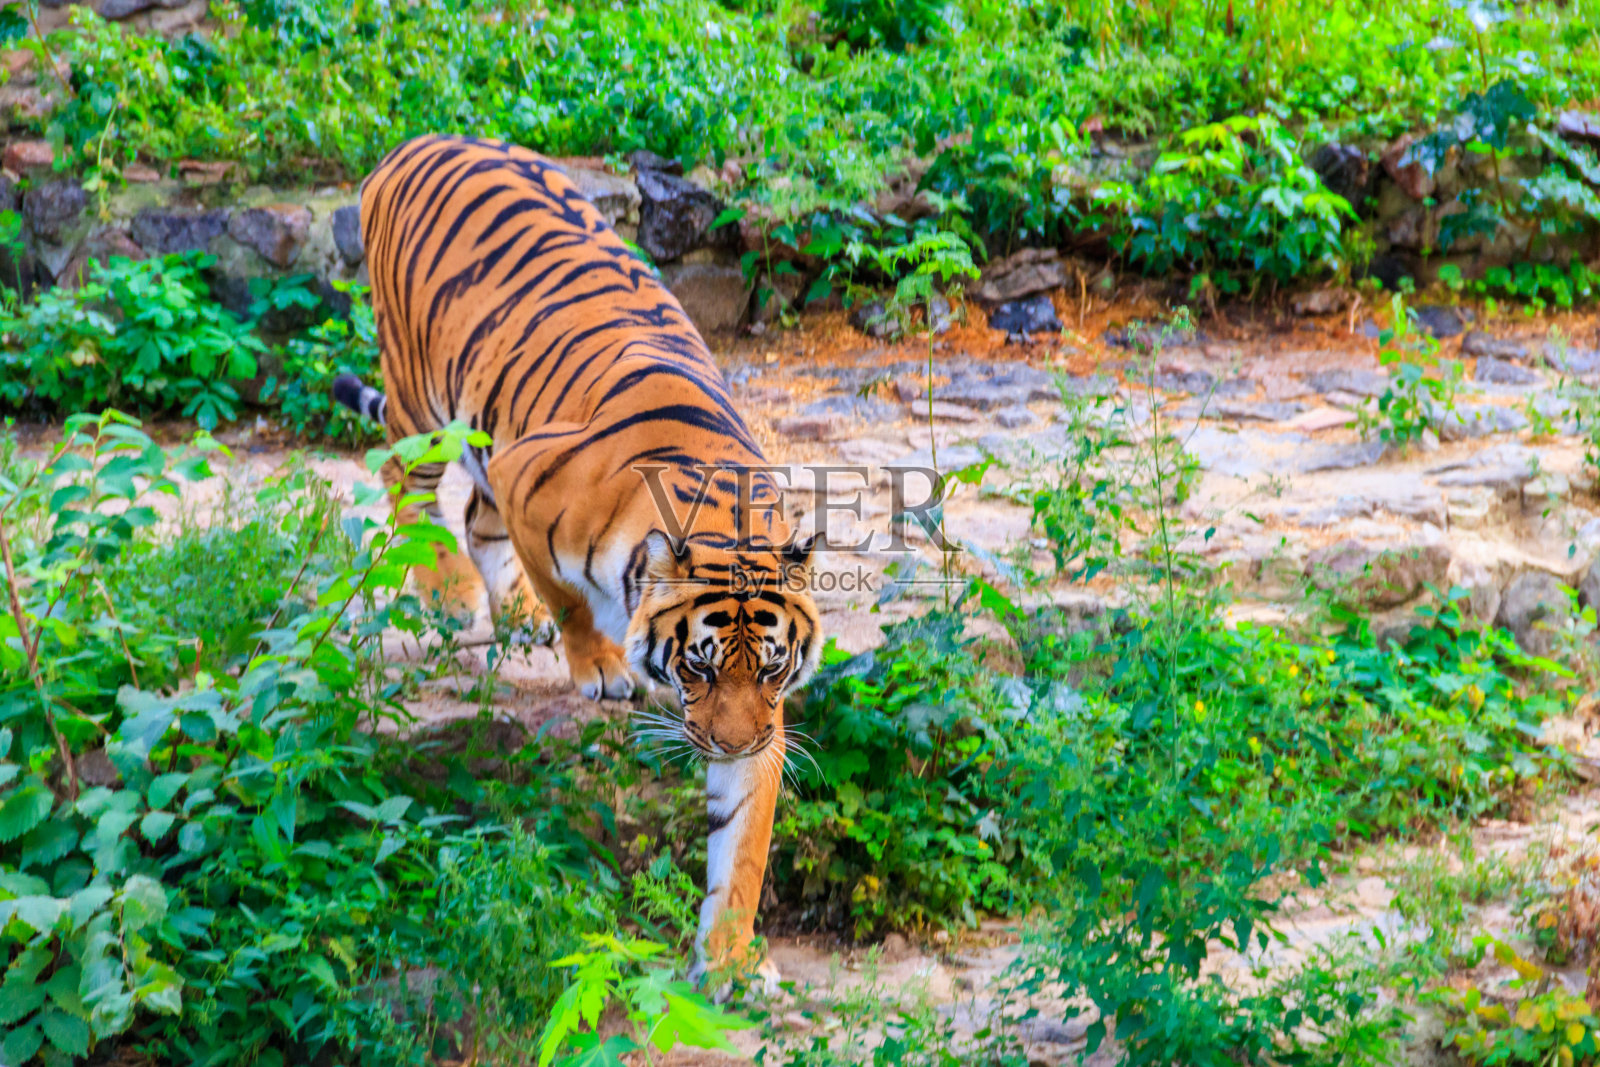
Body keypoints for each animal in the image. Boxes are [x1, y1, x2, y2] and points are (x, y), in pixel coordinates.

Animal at [332, 135, 823, 988]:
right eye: (697, 666)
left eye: (768, 667)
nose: (732, 744)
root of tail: (420, 141)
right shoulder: (526, 479)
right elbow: (567, 593)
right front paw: (599, 664)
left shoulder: (768, 719)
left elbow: (743, 844)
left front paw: (729, 961)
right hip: (424, 392)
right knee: (403, 474)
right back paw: (452, 595)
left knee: (474, 514)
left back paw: (512, 613)